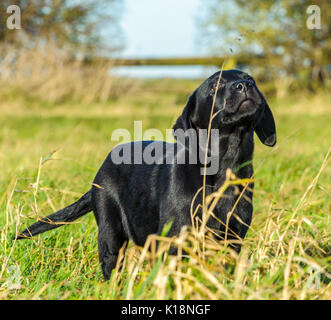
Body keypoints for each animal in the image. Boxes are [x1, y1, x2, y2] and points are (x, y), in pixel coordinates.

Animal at [15, 69, 276, 278]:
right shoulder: (175, 239)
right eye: (215, 86)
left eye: (251, 79)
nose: (244, 85)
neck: (224, 166)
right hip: (110, 233)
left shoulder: (232, 239)